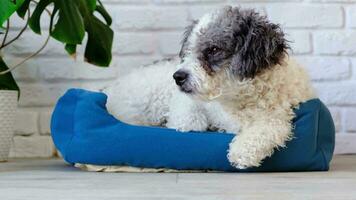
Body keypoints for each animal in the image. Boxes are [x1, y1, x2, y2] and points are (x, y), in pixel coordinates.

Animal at [104, 6, 316, 169]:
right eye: (189, 50)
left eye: (213, 49)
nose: (178, 77)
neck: (237, 98)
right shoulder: (185, 103)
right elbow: (190, 121)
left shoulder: (278, 114)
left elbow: (270, 127)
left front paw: (241, 152)